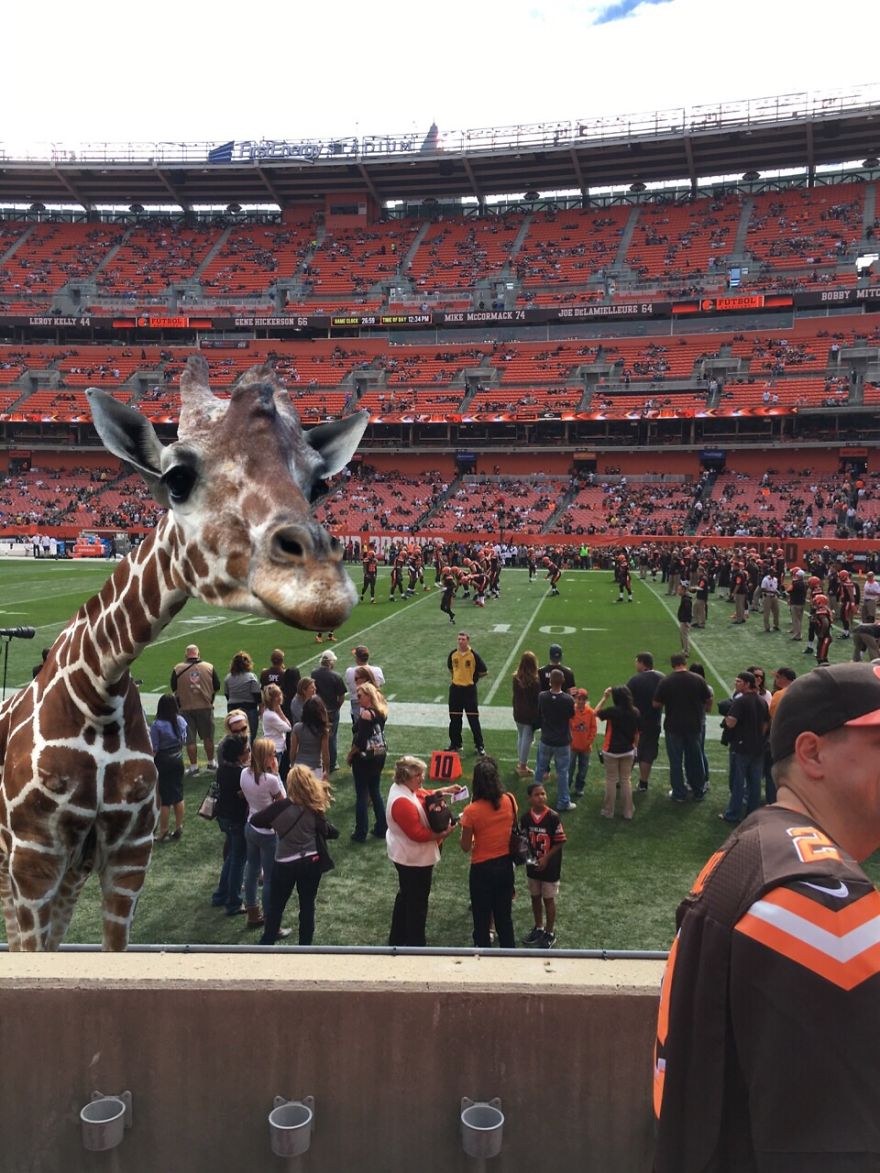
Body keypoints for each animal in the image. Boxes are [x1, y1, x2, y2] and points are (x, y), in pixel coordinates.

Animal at [0, 355, 368, 951]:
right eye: (176, 477)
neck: (96, 694)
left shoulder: (126, 857)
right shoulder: (34, 861)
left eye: (318, 484)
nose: (323, 588)